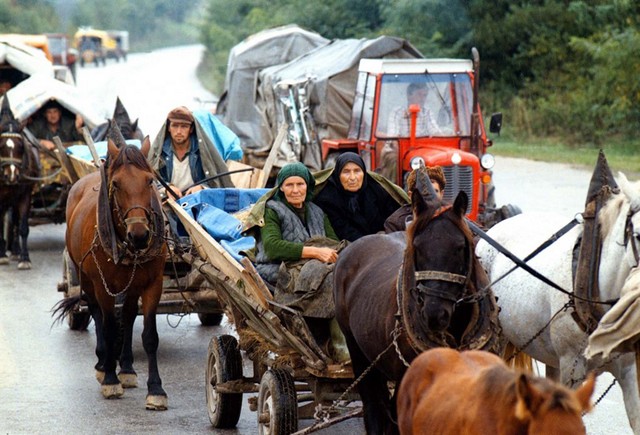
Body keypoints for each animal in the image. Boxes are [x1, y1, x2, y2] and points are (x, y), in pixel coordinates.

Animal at [52, 135, 168, 410]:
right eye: (116, 183)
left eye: (150, 180)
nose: (139, 235)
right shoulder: (103, 285)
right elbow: (109, 325)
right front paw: (110, 380)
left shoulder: (152, 283)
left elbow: (149, 335)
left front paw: (155, 389)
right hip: (84, 276)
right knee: (96, 312)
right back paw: (103, 362)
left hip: (132, 284)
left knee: (127, 315)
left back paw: (125, 367)